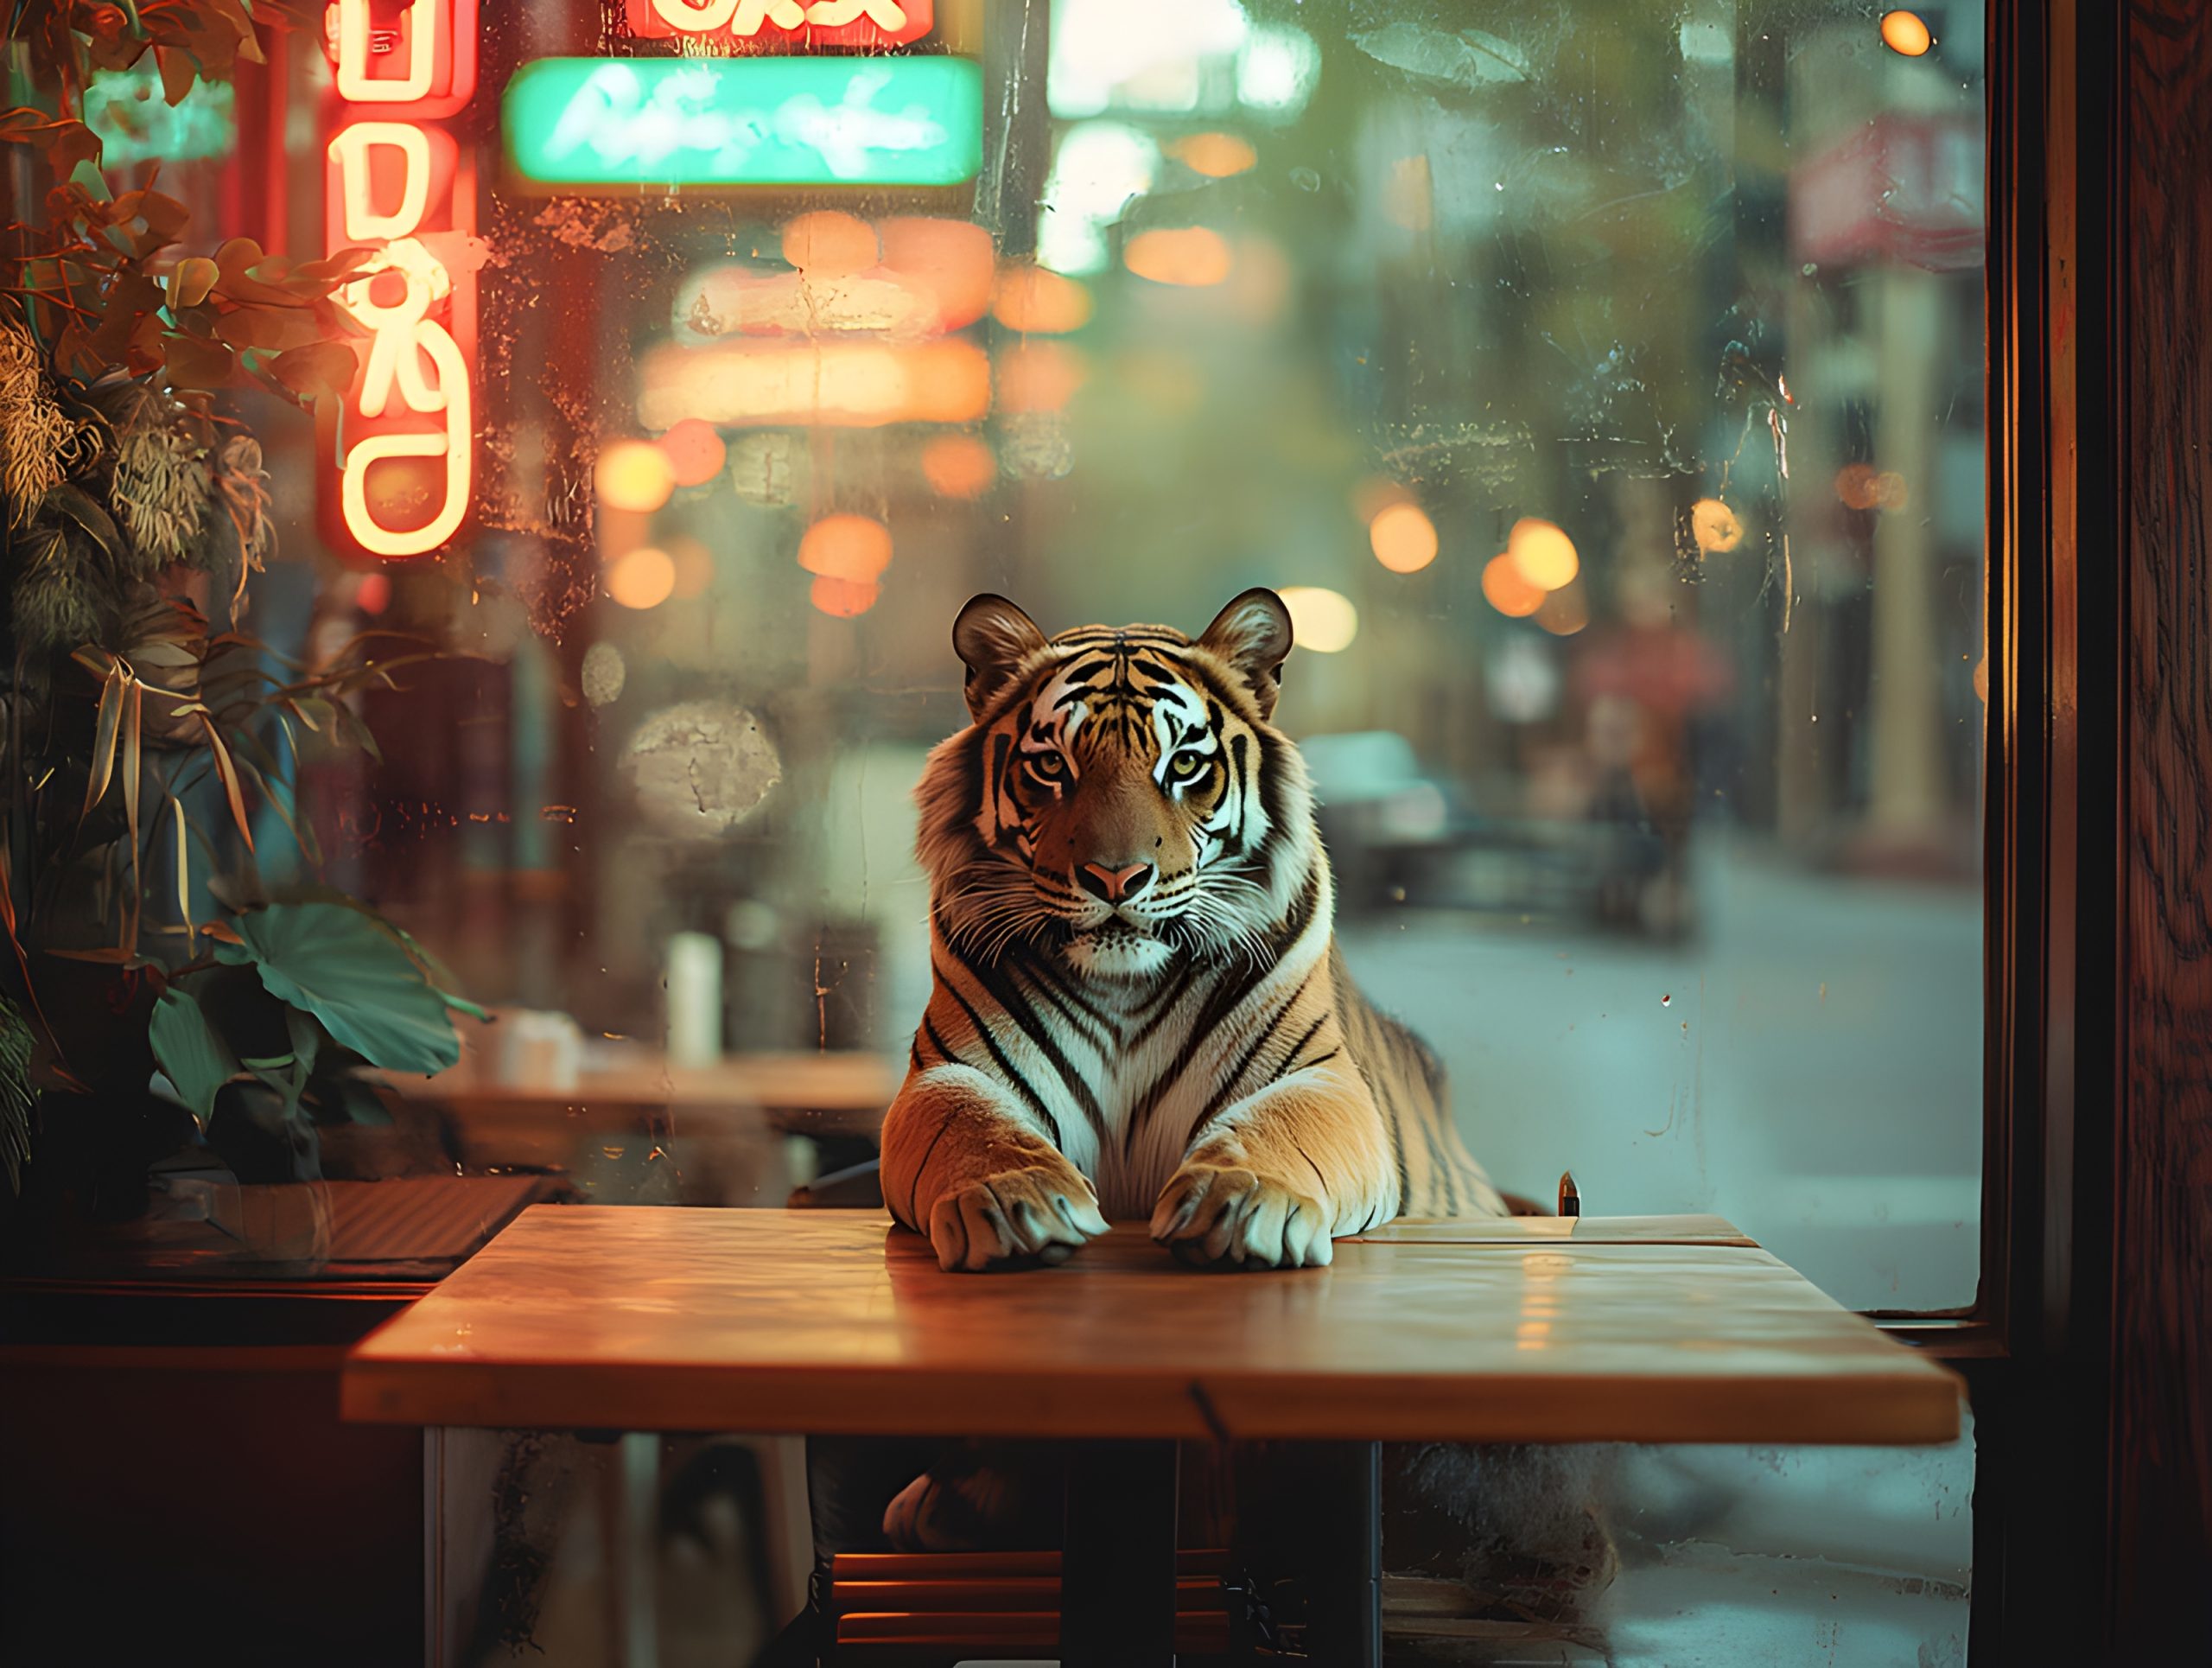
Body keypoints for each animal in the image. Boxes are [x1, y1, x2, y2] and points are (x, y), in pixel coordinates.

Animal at [881, 586, 1507, 1275]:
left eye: (1182, 764)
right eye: (1051, 766)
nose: (1116, 878)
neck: (1123, 991)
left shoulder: (1321, 1077)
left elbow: (1279, 1126)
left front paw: (1239, 1202)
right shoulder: (948, 1074)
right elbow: (979, 1128)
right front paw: (1016, 1201)